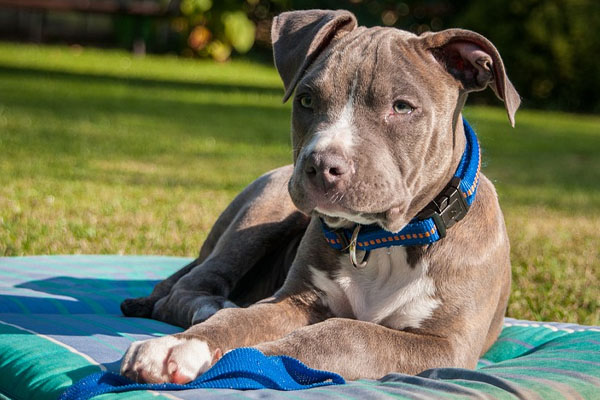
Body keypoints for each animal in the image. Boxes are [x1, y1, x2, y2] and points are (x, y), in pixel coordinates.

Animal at [119, 9, 516, 382]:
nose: (322, 164)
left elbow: (346, 334)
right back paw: (211, 307)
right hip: (263, 211)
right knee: (184, 290)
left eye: (402, 106)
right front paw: (179, 346)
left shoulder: (446, 345)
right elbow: (241, 322)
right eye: (306, 99)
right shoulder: (295, 300)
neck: (381, 241)